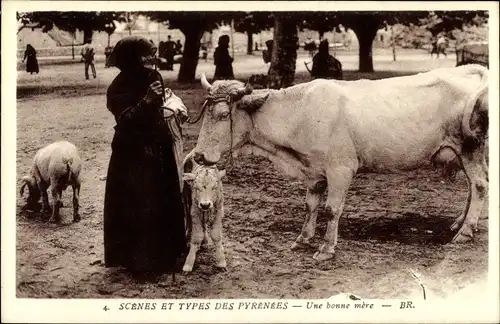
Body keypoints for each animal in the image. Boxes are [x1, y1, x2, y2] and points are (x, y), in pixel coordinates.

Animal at [188, 65, 488, 260]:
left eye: (223, 114)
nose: (198, 156)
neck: (300, 113)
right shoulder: (314, 170)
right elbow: (310, 205)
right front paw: (303, 239)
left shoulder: (341, 169)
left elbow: (332, 209)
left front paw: (326, 248)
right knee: (473, 186)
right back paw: (460, 223)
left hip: (470, 148)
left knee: (480, 185)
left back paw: (464, 232)